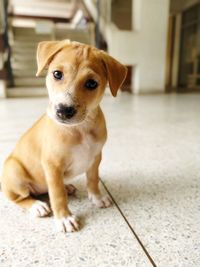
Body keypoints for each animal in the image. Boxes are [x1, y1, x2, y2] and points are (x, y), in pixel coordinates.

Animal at [0, 39, 127, 232]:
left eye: (91, 83)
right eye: (57, 74)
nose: (63, 110)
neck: (81, 129)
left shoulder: (95, 157)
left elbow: (93, 180)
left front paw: (97, 198)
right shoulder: (52, 166)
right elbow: (57, 194)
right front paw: (64, 218)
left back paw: (67, 187)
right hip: (14, 171)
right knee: (19, 198)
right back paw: (37, 206)